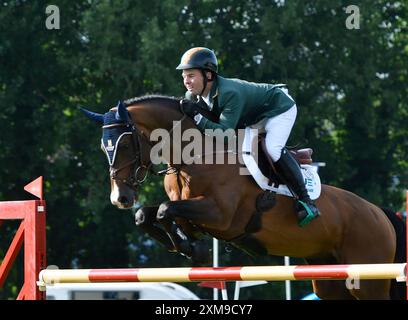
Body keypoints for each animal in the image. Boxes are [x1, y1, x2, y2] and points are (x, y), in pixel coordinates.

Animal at [82, 95, 404, 300]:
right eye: (103, 147)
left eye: (125, 145)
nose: (120, 197)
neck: (193, 159)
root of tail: (380, 213)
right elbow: (148, 214)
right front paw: (186, 245)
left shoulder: (221, 216)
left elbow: (165, 210)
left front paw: (192, 246)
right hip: (328, 277)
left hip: (368, 278)